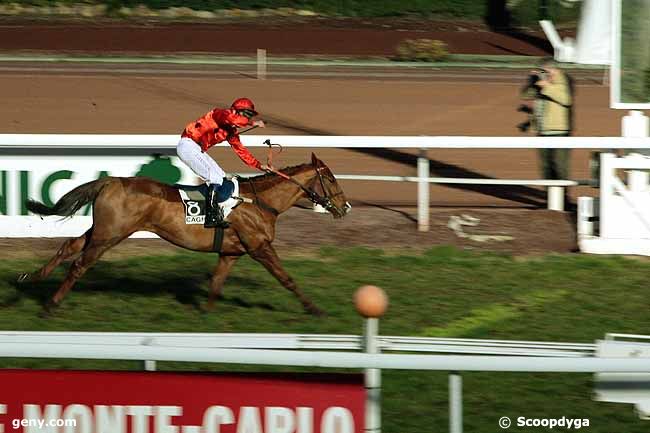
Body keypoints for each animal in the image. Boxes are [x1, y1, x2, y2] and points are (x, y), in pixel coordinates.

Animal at [20, 152, 350, 314]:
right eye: (332, 179)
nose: (345, 206)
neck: (260, 202)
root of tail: (111, 180)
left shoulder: (231, 252)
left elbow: (216, 283)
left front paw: (205, 314)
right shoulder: (260, 247)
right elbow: (287, 278)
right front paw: (314, 308)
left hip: (102, 230)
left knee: (69, 246)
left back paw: (32, 278)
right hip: (110, 234)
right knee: (79, 264)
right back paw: (50, 305)